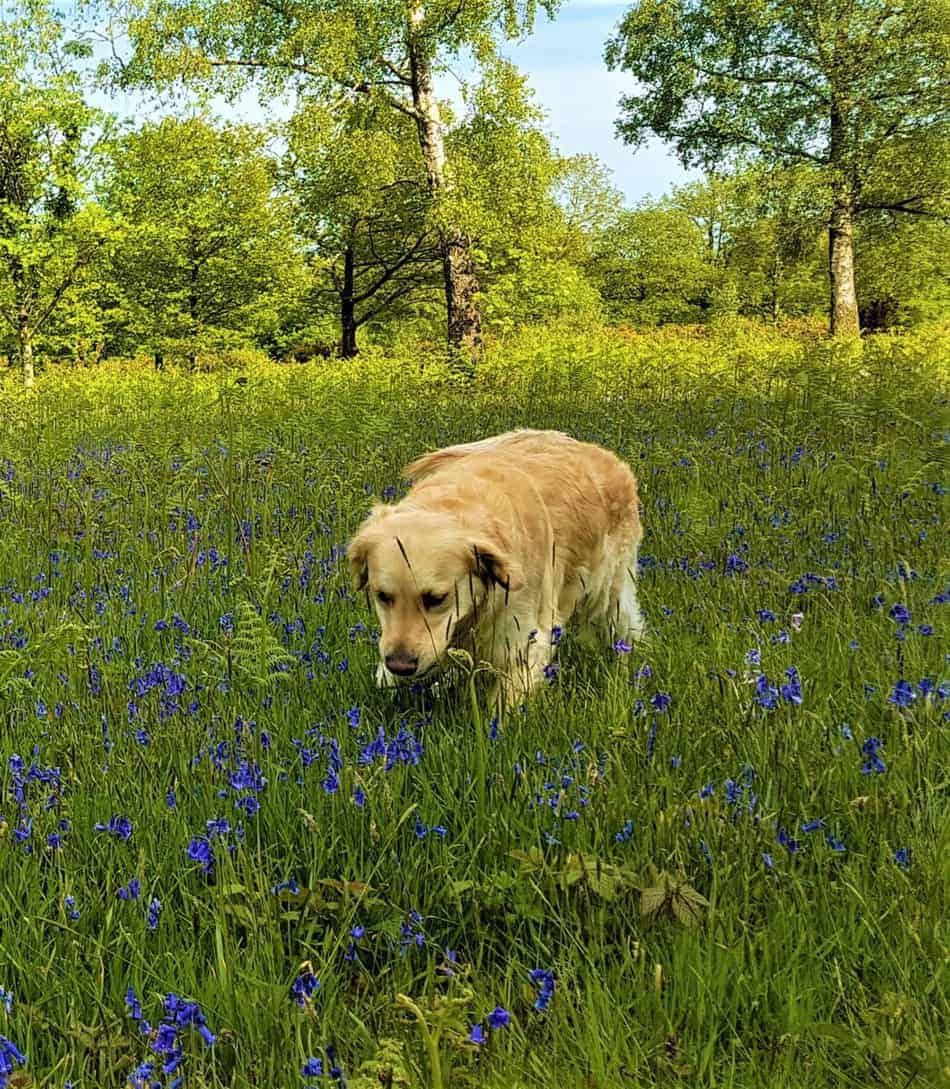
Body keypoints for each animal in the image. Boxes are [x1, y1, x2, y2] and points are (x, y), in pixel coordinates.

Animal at [348, 429, 644, 701]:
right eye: (382, 596)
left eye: (436, 599)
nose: (400, 665)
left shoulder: (524, 642)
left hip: (609, 595)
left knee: (626, 629)